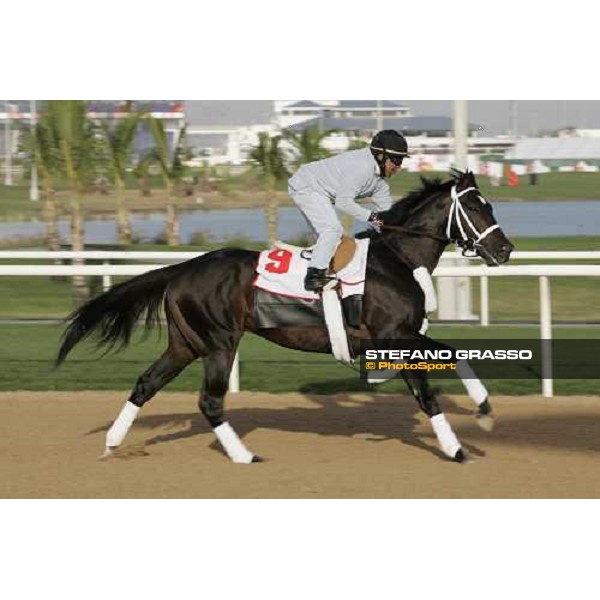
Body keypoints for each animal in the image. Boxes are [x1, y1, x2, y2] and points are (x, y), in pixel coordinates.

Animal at [56, 169, 512, 464]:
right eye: (476, 207)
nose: (505, 250)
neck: (395, 260)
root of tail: (183, 268)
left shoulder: (398, 339)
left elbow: (434, 377)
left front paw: (470, 426)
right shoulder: (392, 334)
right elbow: (441, 371)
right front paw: (471, 427)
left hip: (186, 343)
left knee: (145, 384)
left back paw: (113, 444)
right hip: (219, 342)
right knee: (210, 401)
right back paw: (244, 455)